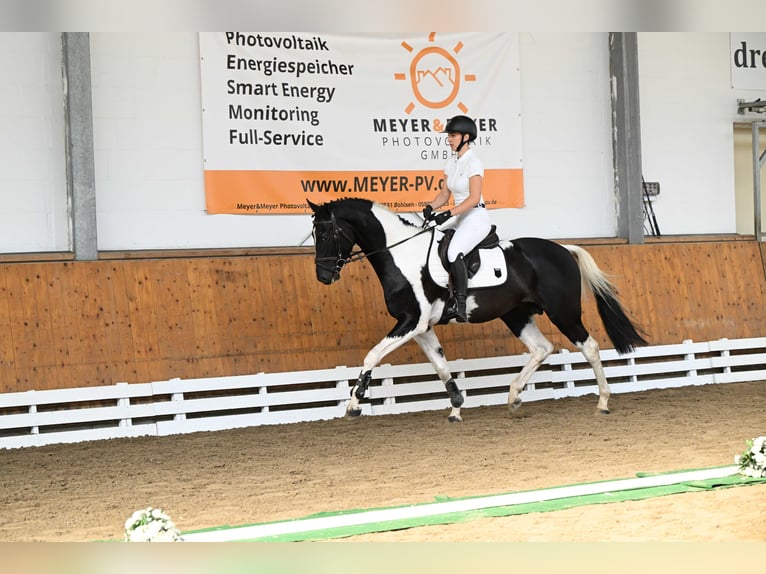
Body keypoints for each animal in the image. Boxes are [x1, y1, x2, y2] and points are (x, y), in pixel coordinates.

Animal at [308, 198, 647, 422]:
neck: (402, 255)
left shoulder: (411, 322)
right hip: (517, 315)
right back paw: (513, 396)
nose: (323, 277)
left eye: (326, 234)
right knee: (542, 348)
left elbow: (372, 355)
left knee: (589, 346)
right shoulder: (422, 328)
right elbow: (441, 365)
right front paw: (457, 405)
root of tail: (563, 249)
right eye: (314, 234)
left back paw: (602, 402)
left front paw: (354, 403)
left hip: (563, 312)